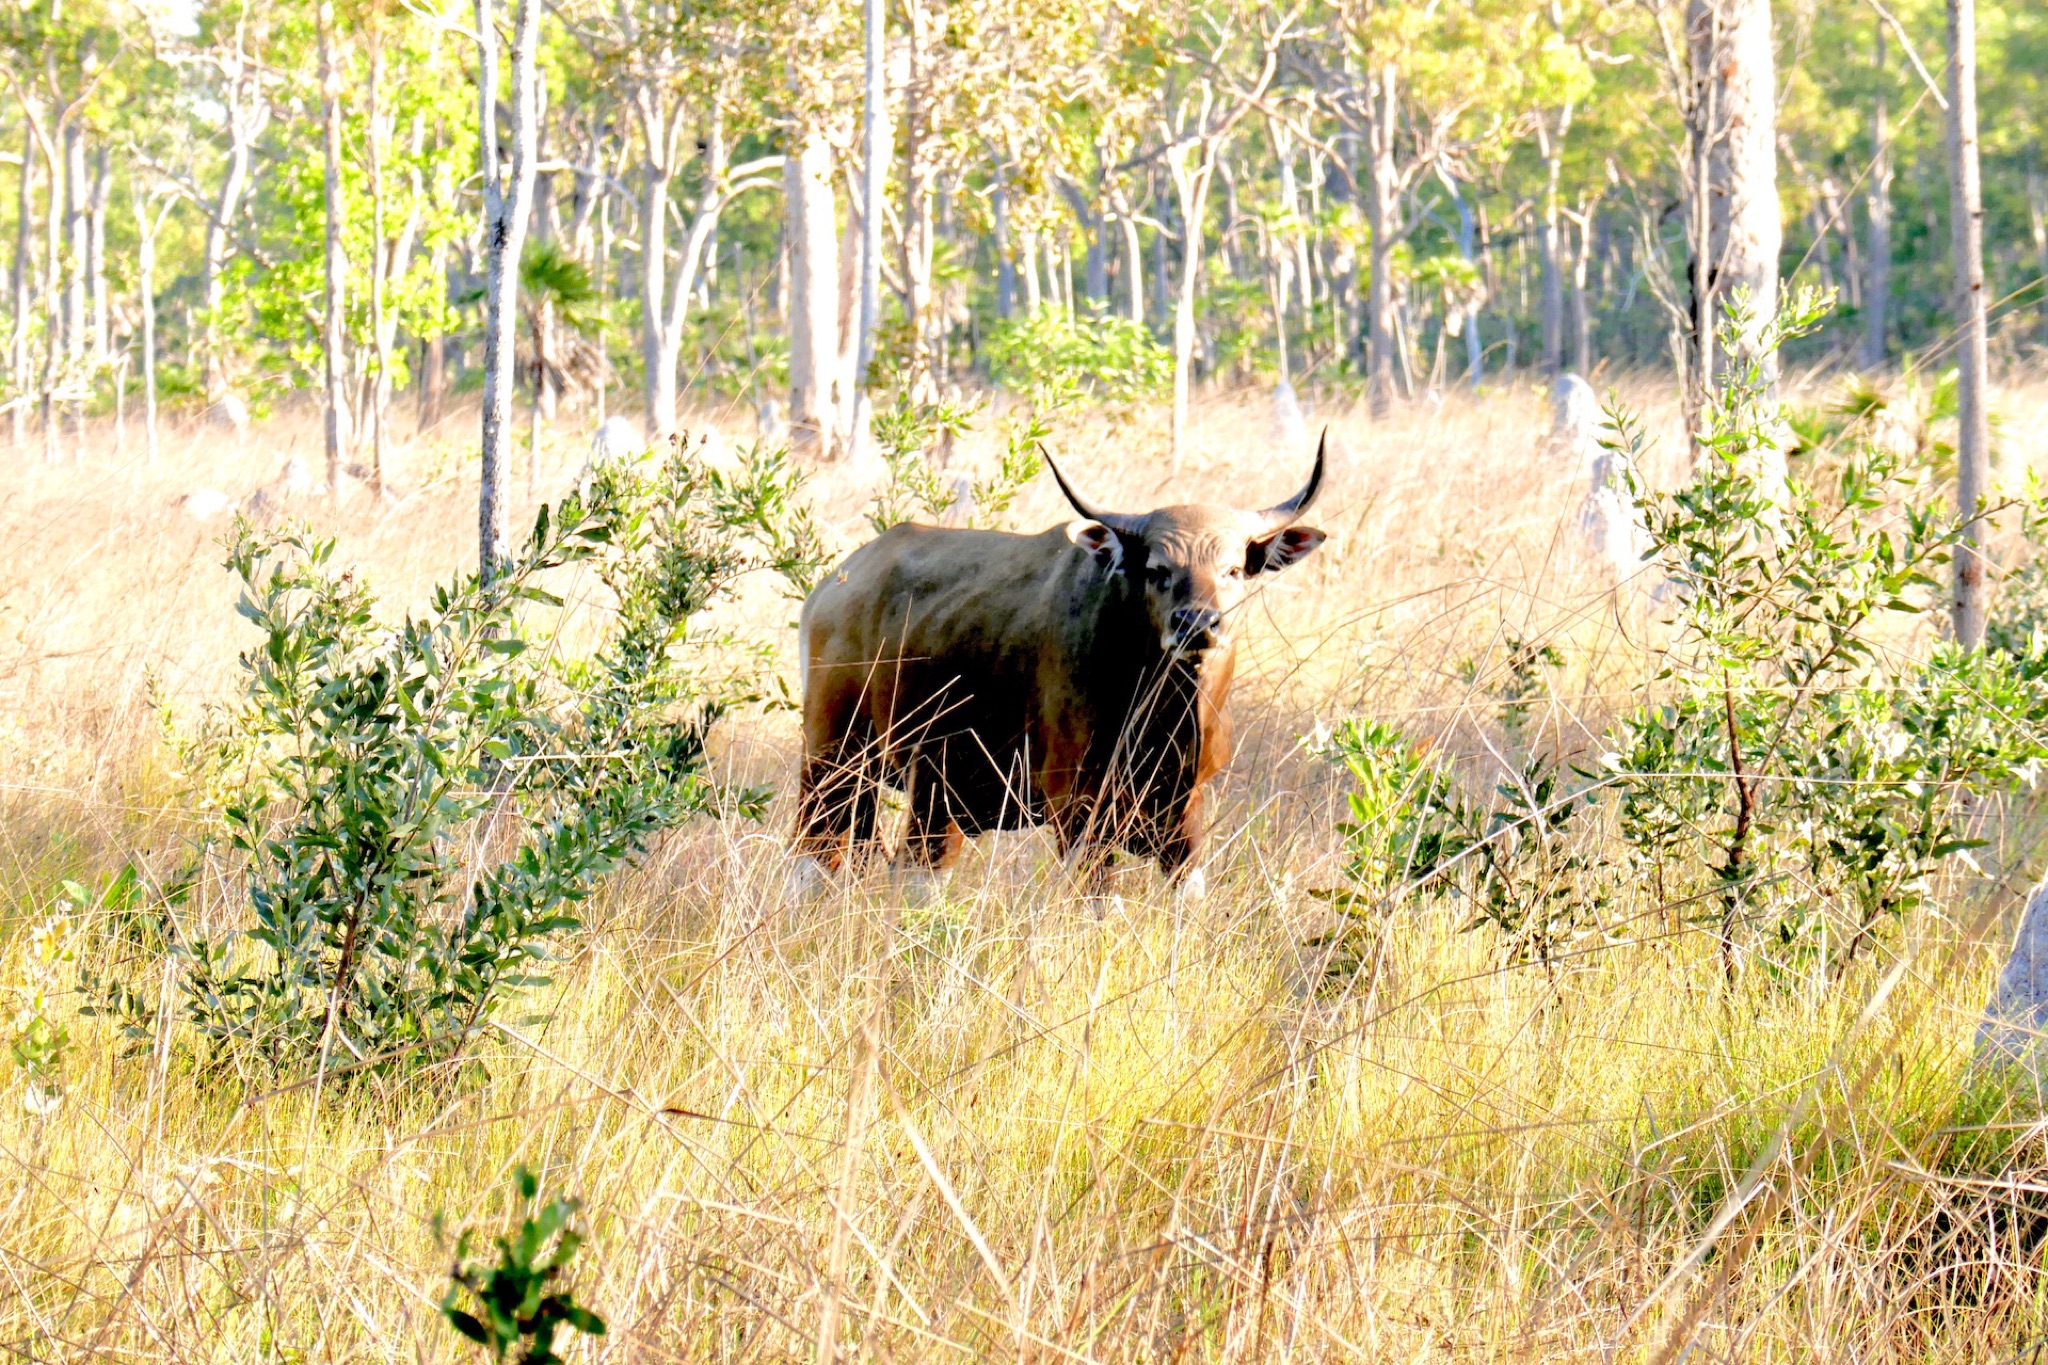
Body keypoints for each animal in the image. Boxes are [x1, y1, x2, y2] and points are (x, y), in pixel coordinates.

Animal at [790, 437, 1329, 900]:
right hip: (830, 762)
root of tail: (834, 585)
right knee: (812, 860)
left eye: (1234, 569)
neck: (1163, 713)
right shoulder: (1076, 804)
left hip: (926, 792)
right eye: (1157, 570)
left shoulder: (1183, 812)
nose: (1198, 624)